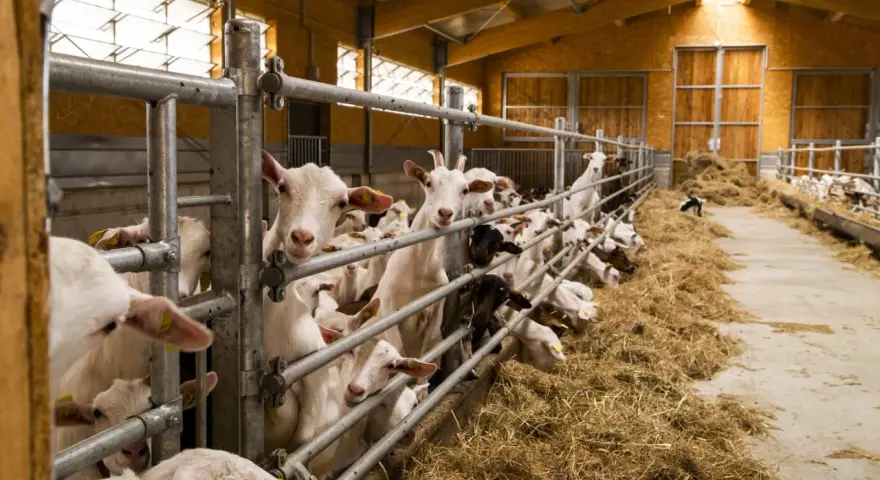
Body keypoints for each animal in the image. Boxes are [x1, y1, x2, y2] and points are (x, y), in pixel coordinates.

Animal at [371, 150, 493, 358]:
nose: (445, 213)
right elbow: (398, 349)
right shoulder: (389, 311)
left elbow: (429, 346)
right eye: (428, 183)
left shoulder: (437, 307)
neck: (417, 268)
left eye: (465, 190)